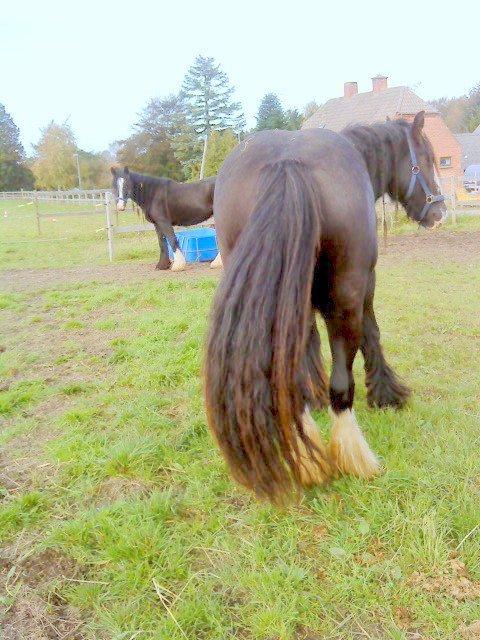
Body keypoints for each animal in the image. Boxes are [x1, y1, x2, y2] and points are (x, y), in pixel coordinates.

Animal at [203, 111, 446, 504]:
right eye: (426, 158)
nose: (439, 211)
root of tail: (288, 162)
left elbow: (308, 348)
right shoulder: (366, 285)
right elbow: (372, 334)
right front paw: (386, 393)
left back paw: (307, 457)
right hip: (346, 295)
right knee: (342, 384)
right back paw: (354, 458)